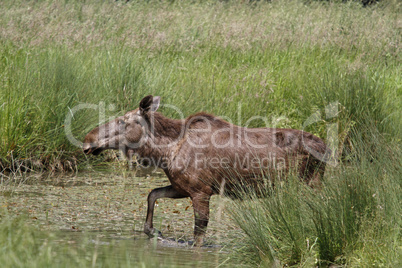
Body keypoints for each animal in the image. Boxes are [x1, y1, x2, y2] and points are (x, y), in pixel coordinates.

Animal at [82, 95, 330, 246]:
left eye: (123, 121)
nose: (87, 139)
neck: (165, 152)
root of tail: (327, 149)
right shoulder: (182, 187)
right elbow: (152, 194)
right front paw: (153, 230)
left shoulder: (201, 191)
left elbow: (198, 235)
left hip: (310, 183)